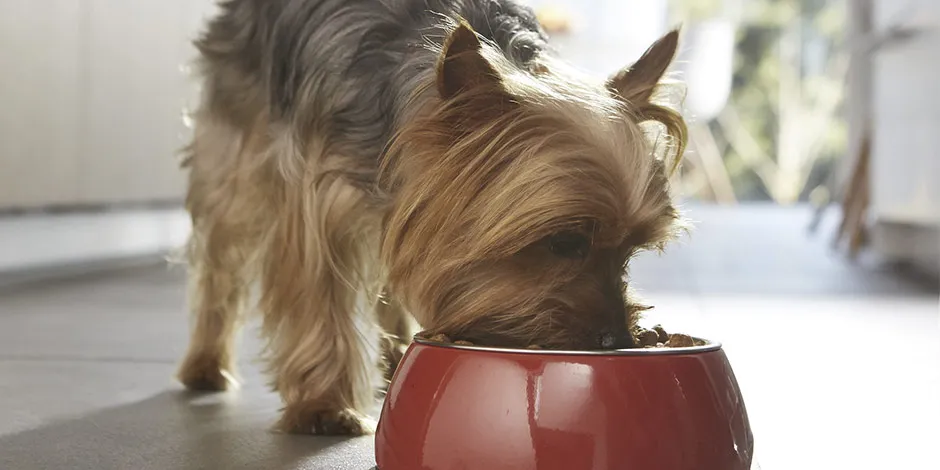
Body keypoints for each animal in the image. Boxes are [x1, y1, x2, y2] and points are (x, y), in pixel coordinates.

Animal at [178, 0, 684, 436]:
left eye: (630, 251)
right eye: (564, 242)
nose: (619, 339)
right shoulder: (315, 194)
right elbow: (319, 293)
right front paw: (324, 406)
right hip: (236, 147)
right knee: (221, 255)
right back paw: (205, 363)